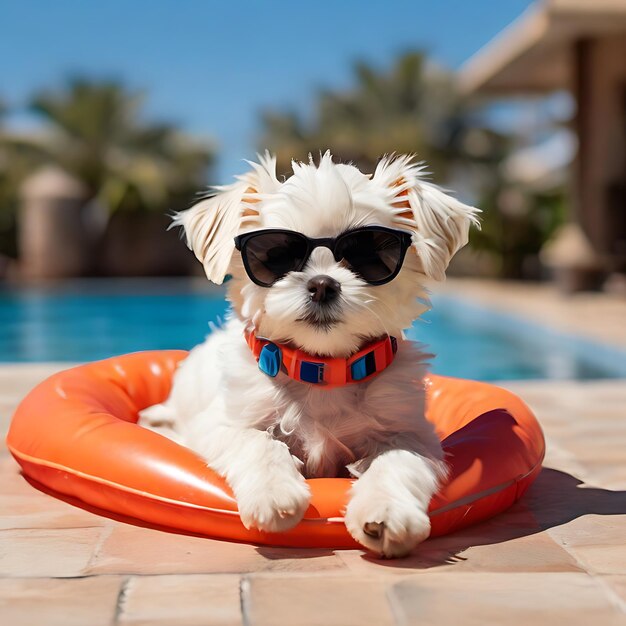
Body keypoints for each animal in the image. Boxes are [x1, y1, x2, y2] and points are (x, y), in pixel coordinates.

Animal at [138, 152, 478, 556]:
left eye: (369, 253)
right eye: (275, 254)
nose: (321, 285)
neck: (322, 369)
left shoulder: (411, 432)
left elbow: (398, 461)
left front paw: (385, 510)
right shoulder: (220, 423)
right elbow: (256, 441)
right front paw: (274, 493)